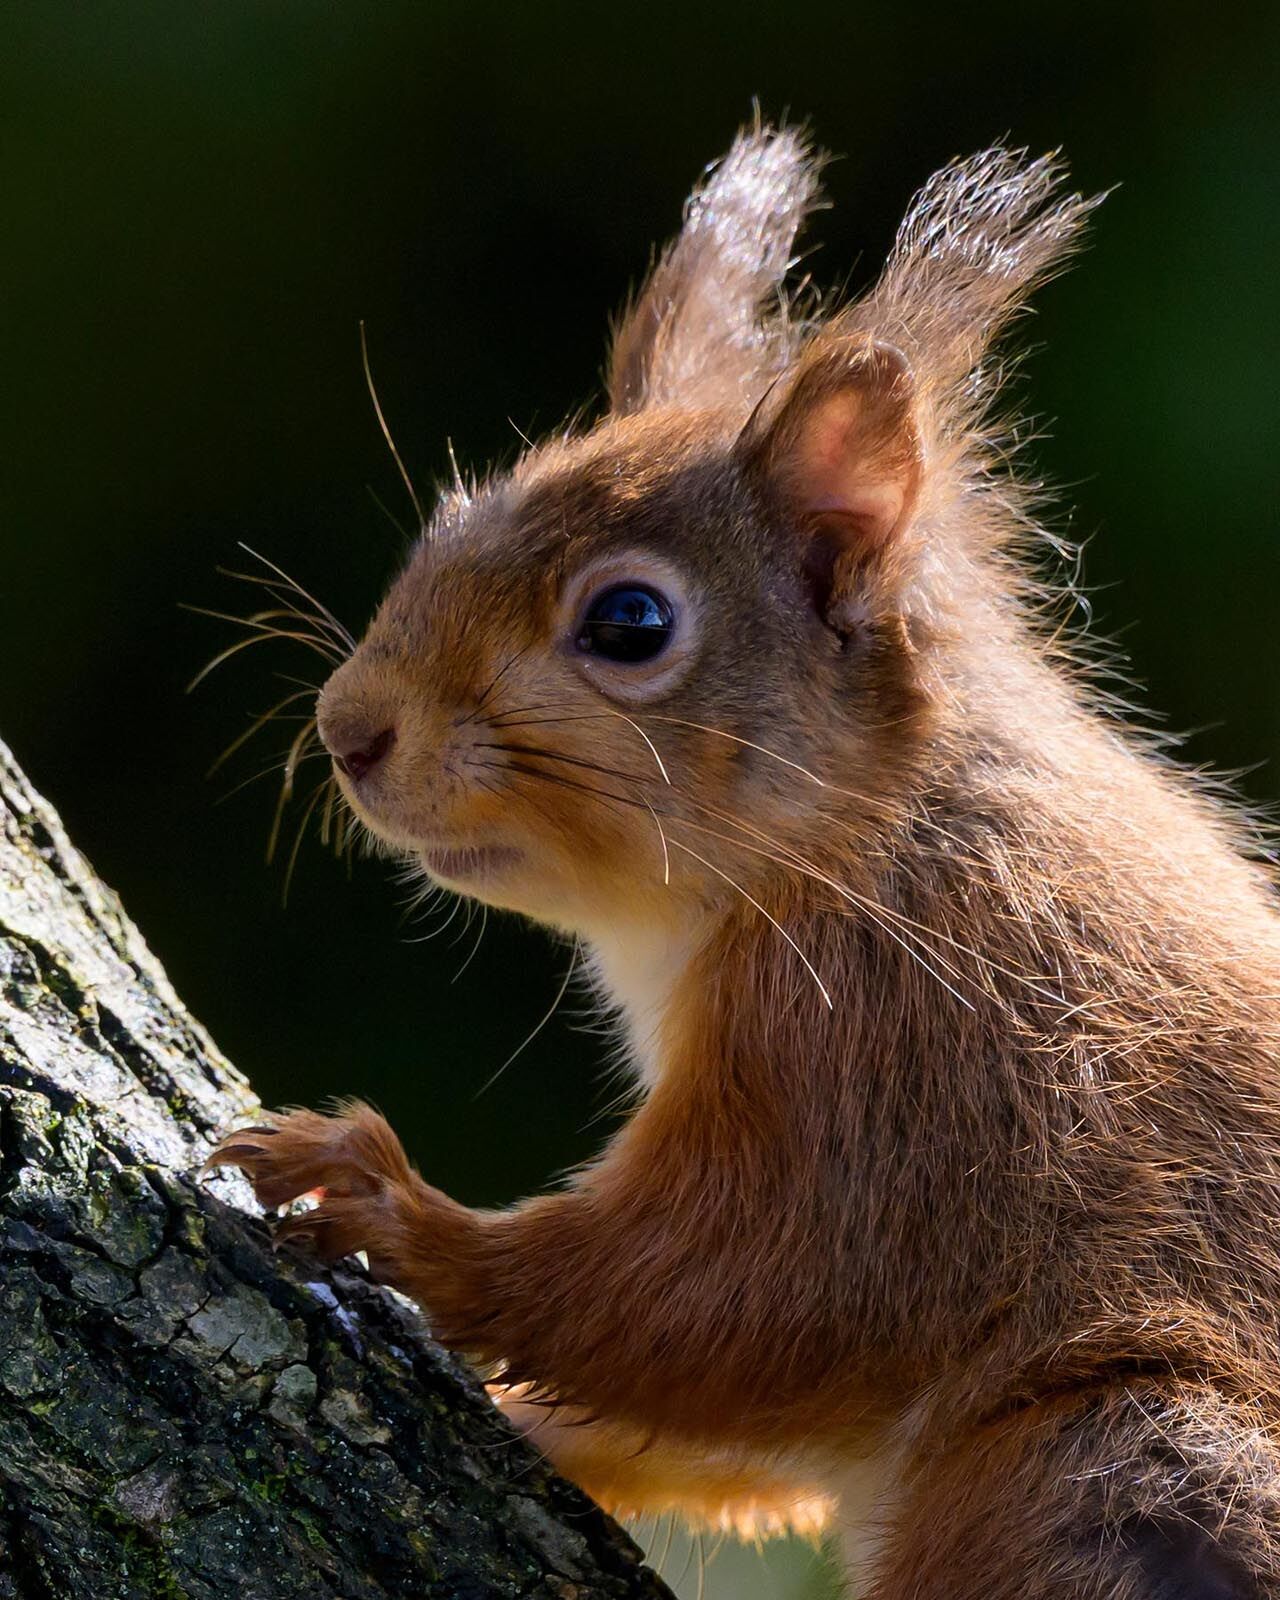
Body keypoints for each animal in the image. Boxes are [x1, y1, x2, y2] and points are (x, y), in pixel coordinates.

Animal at [207, 124, 1280, 1597]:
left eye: (630, 622)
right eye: (447, 521)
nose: (347, 729)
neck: (855, 840)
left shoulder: (904, 1068)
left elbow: (733, 1297)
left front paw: (390, 1211)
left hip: (1115, 1467)